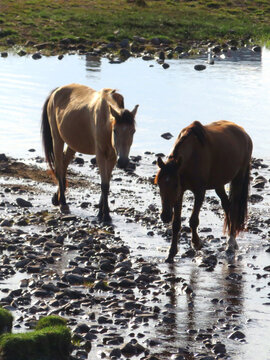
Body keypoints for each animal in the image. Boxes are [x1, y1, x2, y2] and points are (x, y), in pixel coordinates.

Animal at [41, 82, 139, 221]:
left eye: (133, 131)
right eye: (115, 131)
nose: (123, 162)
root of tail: (56, 91)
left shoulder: (112, 156)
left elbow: (107, 183)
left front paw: (102, 211)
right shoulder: (101, 154)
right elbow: (104, 185)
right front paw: (105, 215)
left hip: (73, 143)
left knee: (64, 164)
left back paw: (56, 198)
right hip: (57, 138)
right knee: (59, 167)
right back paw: (63, 203)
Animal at [155, 119, 252, 262]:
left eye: (175, 185)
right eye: (159, 184)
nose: (165, 216)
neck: (192, 156)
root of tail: (244, 133)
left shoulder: (199, 191)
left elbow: (193, 221)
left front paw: (196, 243)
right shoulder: (180, 194)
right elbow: (176, 224)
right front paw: (171, 253)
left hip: (239, 177)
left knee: (233, 208)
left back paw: (231, 243)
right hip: (219, 184)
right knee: (227, 206)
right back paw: (231, 239)